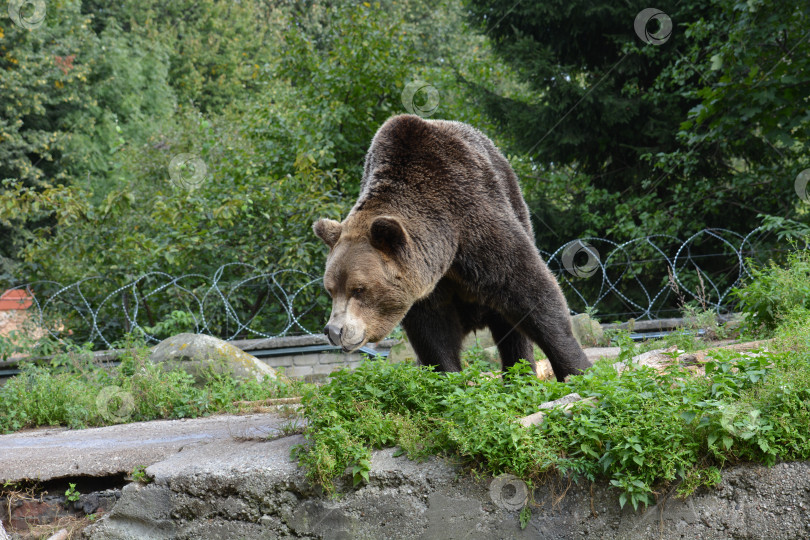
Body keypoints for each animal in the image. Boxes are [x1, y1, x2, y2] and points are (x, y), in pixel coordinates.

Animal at [312, 115, 592, 382]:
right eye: (330, 289)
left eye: (359, 289)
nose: (334, 331)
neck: (447, 247)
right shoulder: (427, 284)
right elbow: (434, 333)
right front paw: (449, 380)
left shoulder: (477, 224)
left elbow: (531, 290)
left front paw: (579, 370)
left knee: (510, 327)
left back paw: (519, 376)